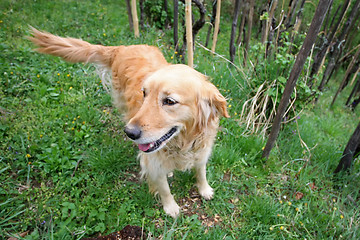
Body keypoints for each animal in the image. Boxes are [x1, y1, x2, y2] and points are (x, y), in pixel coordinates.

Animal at [29, 26, 229, 218]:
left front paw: (205, 190)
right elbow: (164, 188)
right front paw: (170, 207)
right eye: (144, 93)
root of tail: (123, 47)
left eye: (169, 101)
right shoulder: (152, 162)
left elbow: (201, 171)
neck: (183, 142)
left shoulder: (202, 151)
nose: (130, 133)